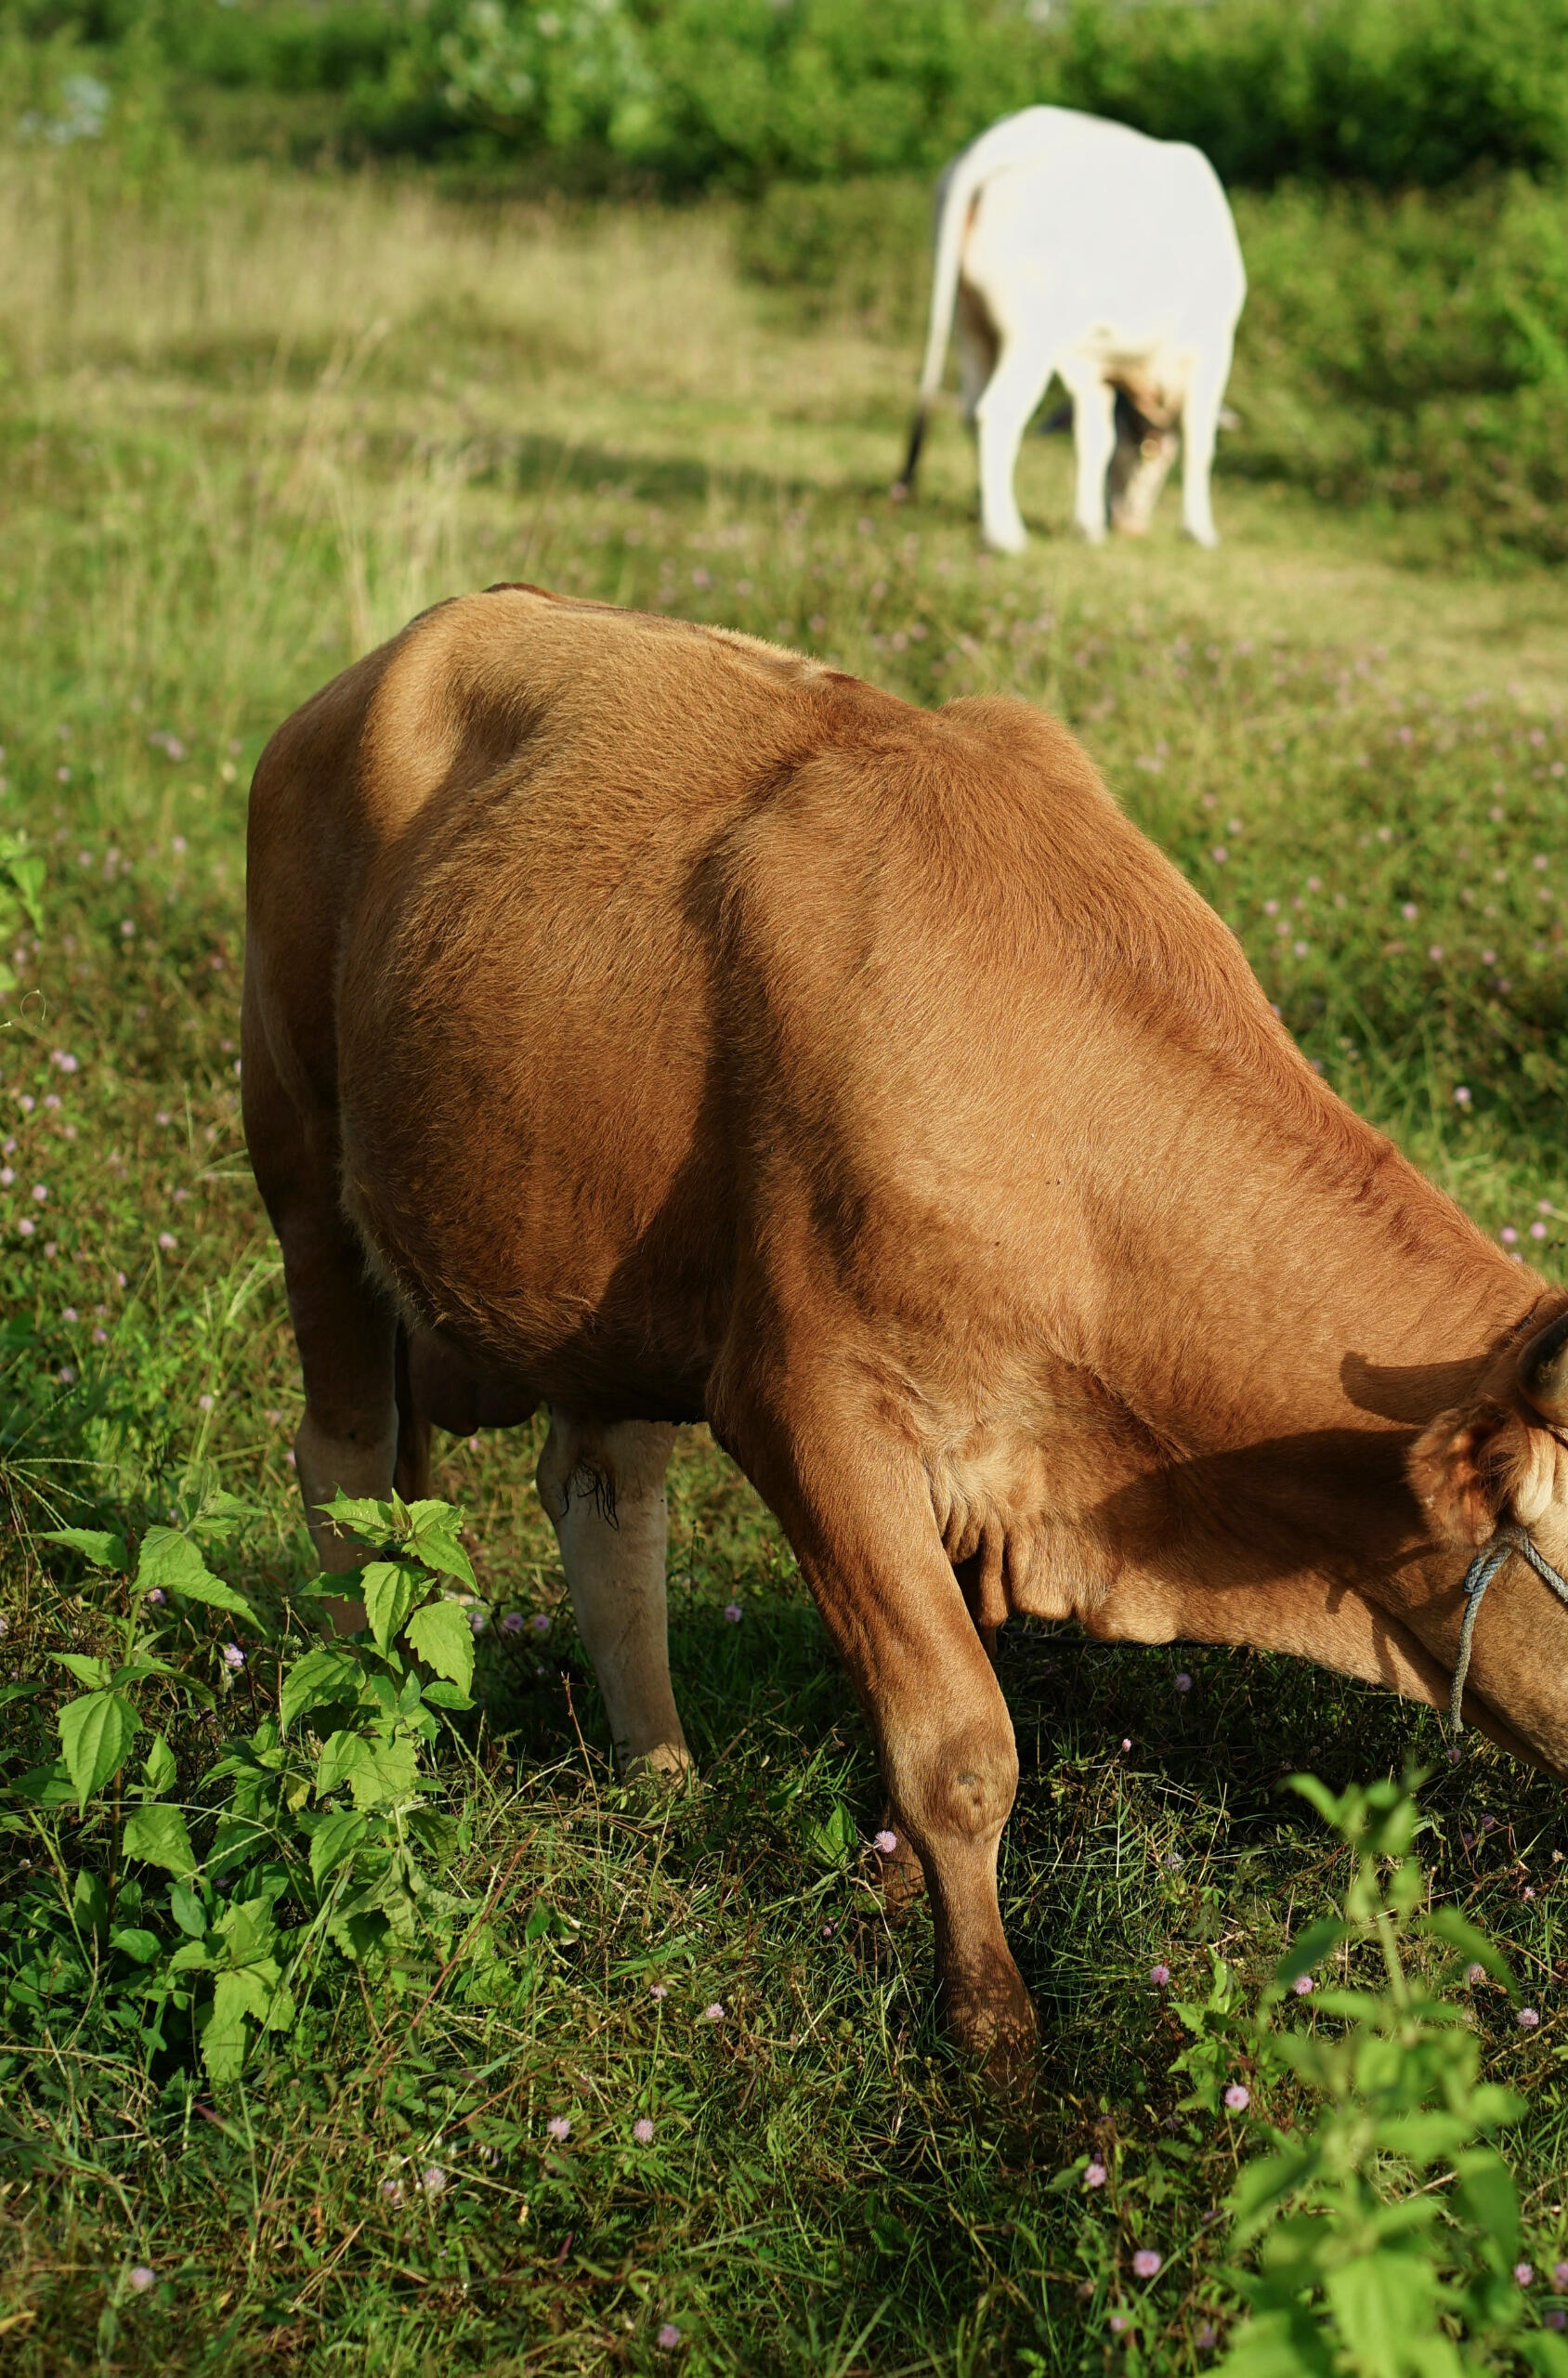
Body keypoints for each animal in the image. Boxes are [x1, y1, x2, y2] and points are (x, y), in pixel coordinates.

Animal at [245, 584, 1568, 2074]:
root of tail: (409, 643)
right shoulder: (808, 1402)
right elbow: (959, 1744)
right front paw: (989, 2025)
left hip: (587, 1257)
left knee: (601, 1497)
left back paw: (659, 1775)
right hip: (300, 1153)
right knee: (346, 1462)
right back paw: (362, 1714)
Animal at [894, 106, 1247, 554]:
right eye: (1154, 456)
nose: (1127, 525)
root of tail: (987, 150)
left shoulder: (1092, 361)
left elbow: (1093, 439)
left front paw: (1088, 527)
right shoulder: (1213, 346)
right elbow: (1200, 441)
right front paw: (1199, 531)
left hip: (967, 324)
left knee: (970, 411)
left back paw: (989, 507)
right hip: (1030, 336)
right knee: (996, 411)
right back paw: (1003, 535)